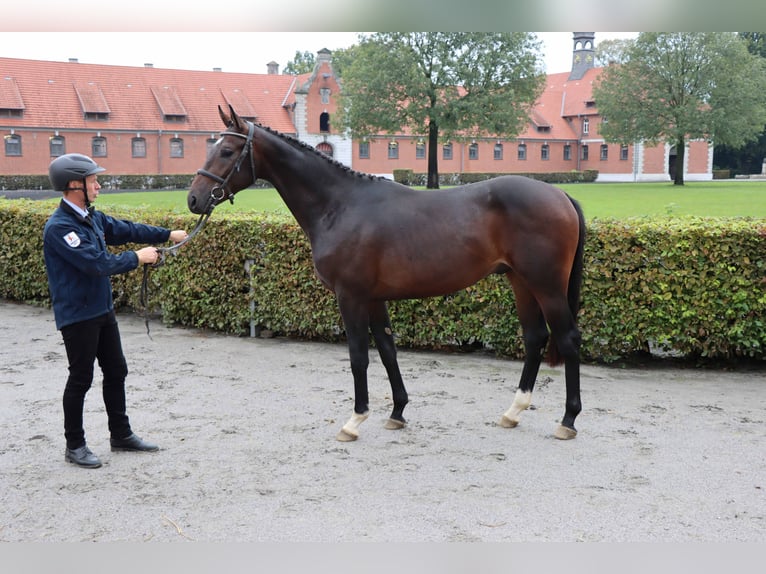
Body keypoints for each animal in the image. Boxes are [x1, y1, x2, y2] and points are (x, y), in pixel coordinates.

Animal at [189, 104, 584, 440]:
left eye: (227, 151)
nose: (194, 199)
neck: (341, 205)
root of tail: (560, 195)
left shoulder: (350, 296)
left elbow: (358, 356)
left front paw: (354, 420)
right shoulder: (374, 298)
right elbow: (387, 349)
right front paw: (397, 412)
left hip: (547, 286)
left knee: (567, 338)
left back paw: (568, 420)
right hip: (521, 281)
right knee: (535, 337)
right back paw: (513, 411)